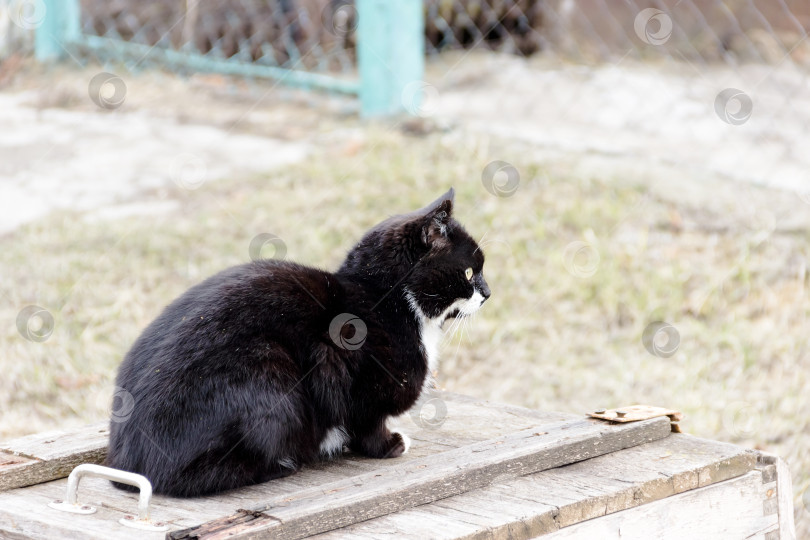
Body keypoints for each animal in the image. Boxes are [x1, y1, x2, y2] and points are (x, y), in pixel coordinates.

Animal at [105, 188, 490, 496]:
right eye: (470, 272)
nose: (488, 293)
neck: (384, 299)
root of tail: (130, 464)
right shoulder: (356, 378)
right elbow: (367, 421)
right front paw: (388, 444)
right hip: (270, 375)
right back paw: (284, 463)